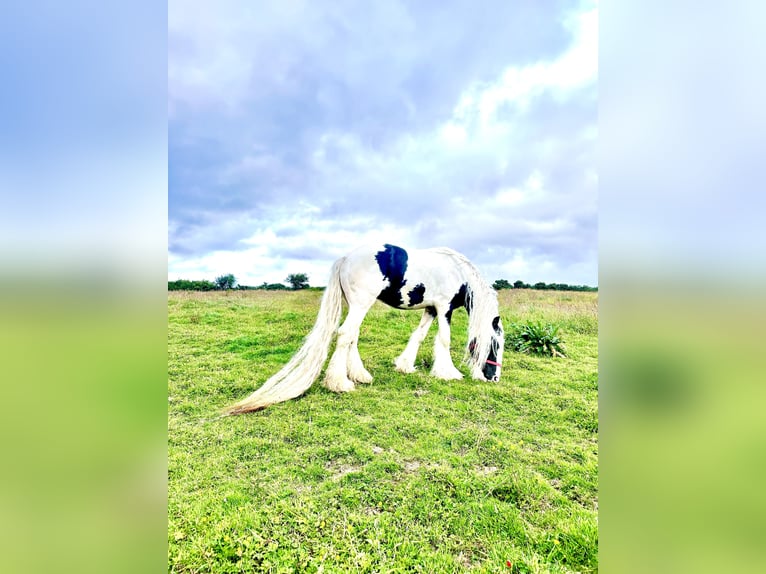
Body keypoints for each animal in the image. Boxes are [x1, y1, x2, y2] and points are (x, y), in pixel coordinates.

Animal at [225, 243, 508, 414]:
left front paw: (405, 365)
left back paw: (359, 375)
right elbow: (444, 340)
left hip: (357, 305)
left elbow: (418, 336)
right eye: (496, 344)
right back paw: (340, 383)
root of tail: (346, 258)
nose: (494, 378)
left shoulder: (430, 309)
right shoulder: (443, 307)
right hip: (362, 303)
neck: (459, 274)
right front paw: (448, 373)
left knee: (353, 336)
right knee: (346, 334)